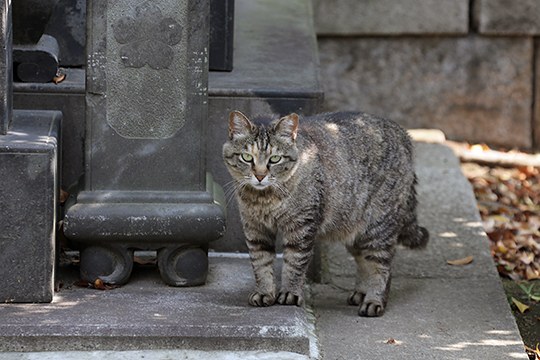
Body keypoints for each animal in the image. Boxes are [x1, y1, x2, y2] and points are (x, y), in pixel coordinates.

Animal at [221, 111, 428, 316]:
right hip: (355, 230)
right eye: (247, 157)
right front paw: (264, 292)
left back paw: (374, 301)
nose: (260, 176)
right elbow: (260, 263)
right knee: (364, 261)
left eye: (275, 159)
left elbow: (294, 263)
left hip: (378, 227)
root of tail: (403, 133)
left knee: (382, 267)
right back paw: (361, 293)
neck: (263, 199)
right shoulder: (255, 229)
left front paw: (289, 294)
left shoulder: (302, 227)